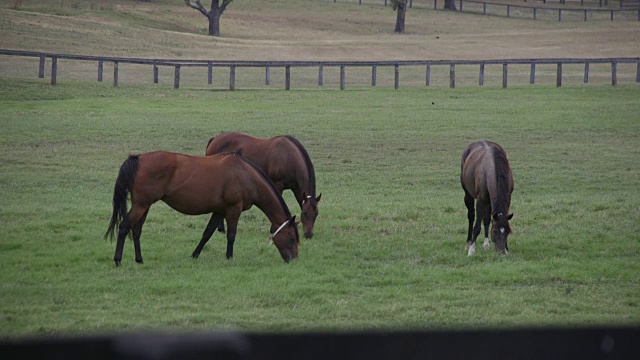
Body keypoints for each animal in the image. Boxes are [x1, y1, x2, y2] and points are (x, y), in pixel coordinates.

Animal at [105, 150, 300, 266]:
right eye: (291, 237)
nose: (293, 260)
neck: (245, 175)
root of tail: (138, 158)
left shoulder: (219, 211)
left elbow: (207, 233)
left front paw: (195, 254)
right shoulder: (233, 209)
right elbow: (231, 235)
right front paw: (229, 257)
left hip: (144, 206)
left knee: (136, 230)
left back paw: (139, 259)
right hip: (141, 205)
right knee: (124, 227)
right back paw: (118, 260)